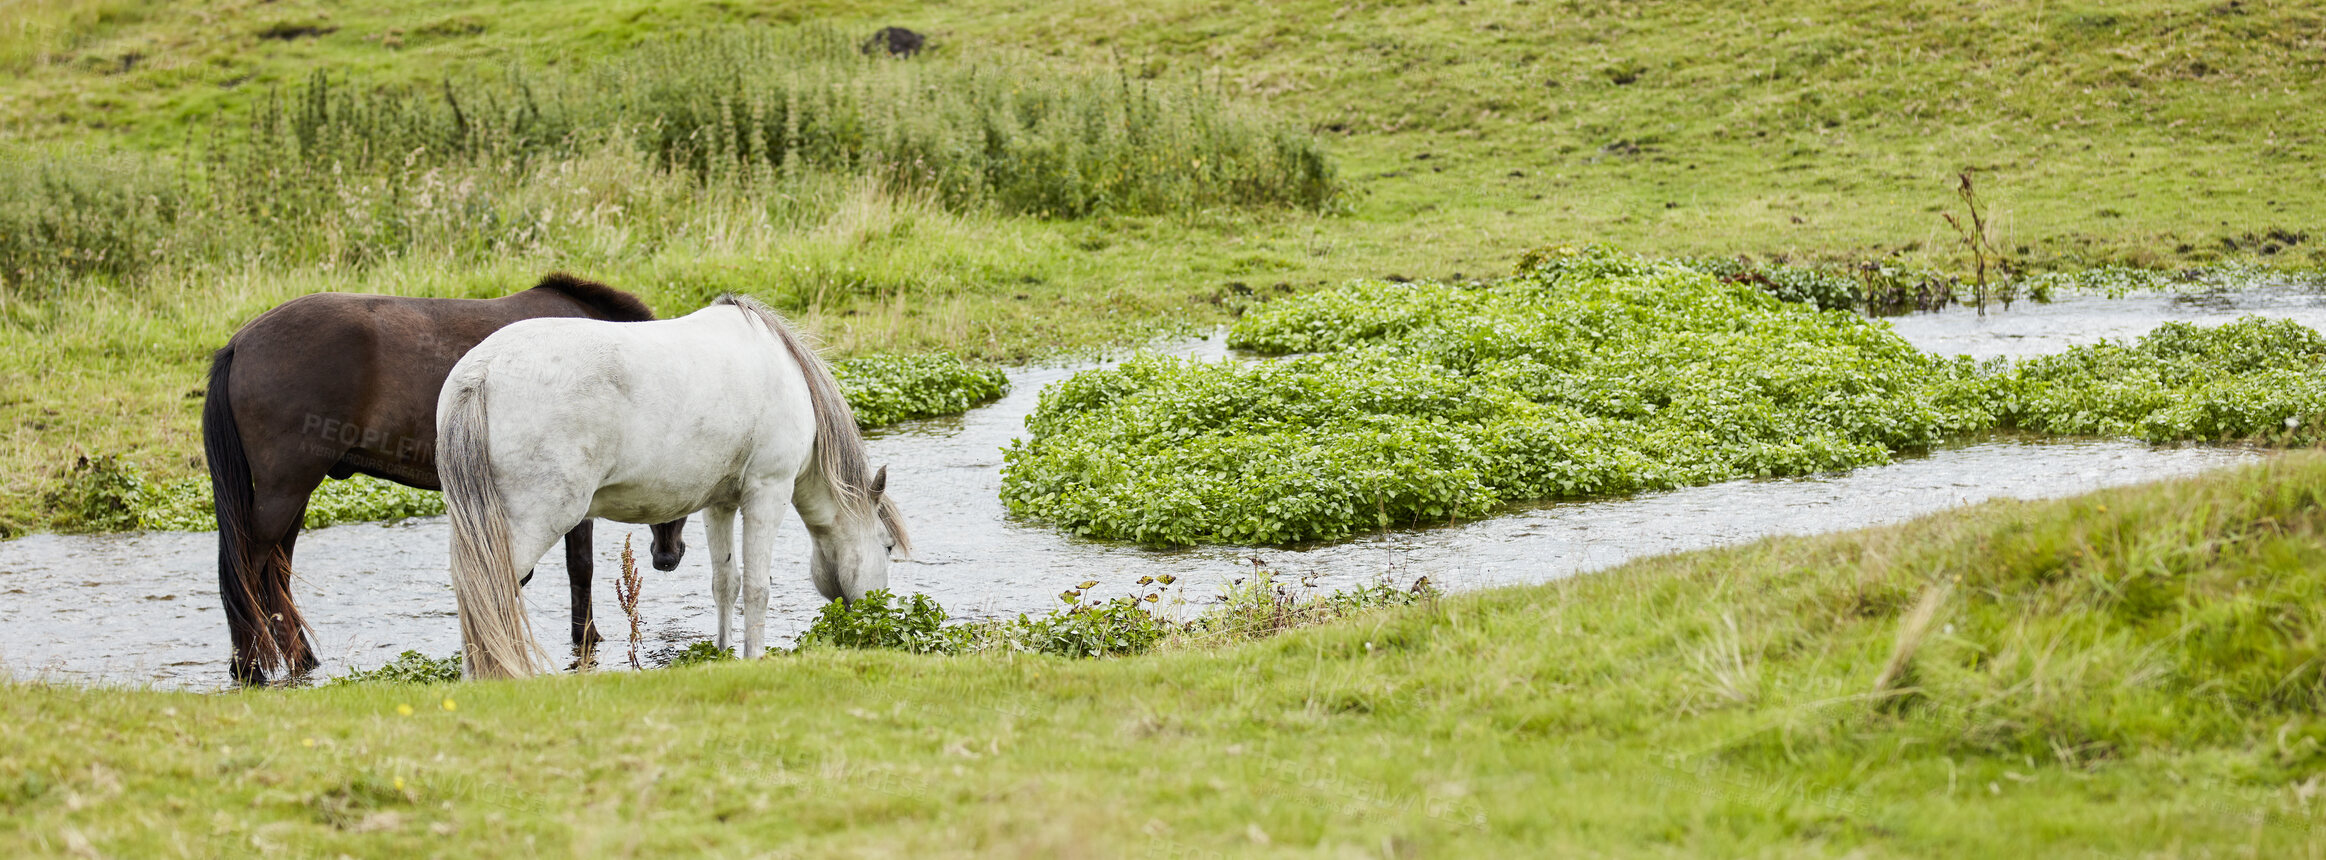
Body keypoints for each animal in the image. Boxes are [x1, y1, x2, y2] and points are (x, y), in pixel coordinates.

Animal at [207, 275, 688, 683]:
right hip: (284, 491)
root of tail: (240, 344)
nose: (667, 556)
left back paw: (298, 660)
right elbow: (580, 568)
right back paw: (248, 667)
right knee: (245, 570)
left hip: (295, 494)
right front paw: (586, 637)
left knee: (275, 574)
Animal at [437, 294, 907, 678]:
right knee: (492, 591)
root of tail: (481, 374)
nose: (876, 616)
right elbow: (757, 587)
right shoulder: (766, 492)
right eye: (887, 547)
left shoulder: (720, 504)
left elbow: (726, 583)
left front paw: (724, 652)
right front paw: (754, 657)